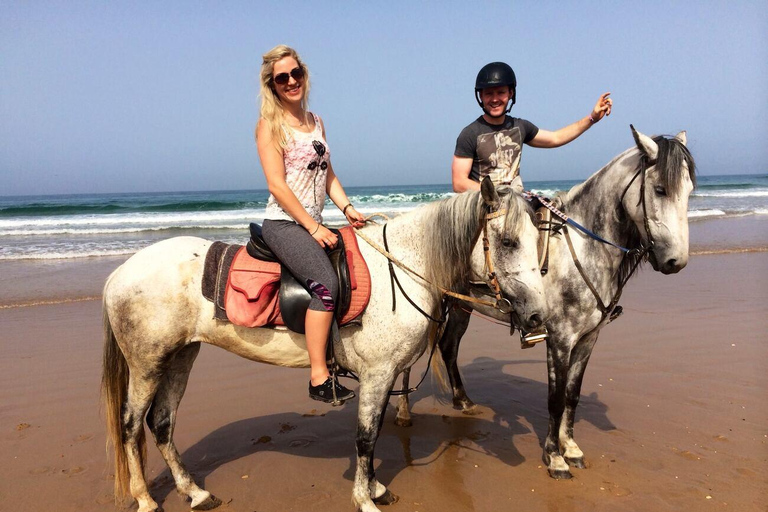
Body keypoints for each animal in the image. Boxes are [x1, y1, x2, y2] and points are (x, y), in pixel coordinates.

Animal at [100, 179, 544, 512]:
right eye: (507, 241)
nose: (538, 317)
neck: (401, 268)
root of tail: (120, 273)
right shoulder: (379, 374)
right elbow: (366, 435)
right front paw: (365, 499)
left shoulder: (383, 376)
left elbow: (374, 431)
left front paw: (375, 488)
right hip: (147, 364)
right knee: (130, 424)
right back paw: (145, 498)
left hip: (180, 356)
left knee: (162, 423)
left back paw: (195, 492)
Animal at [396, 127, 696, 480]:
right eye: (660, 189)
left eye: (689, 191)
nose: (675, 262)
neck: (582, 248)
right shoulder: (560, 339)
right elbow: (554, 399)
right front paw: (555, 458)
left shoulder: (588, 338)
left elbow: (572, 395)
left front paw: (571, 448)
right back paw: (403, 412)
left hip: (460, 307)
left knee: (449, 346)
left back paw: (463, 401)